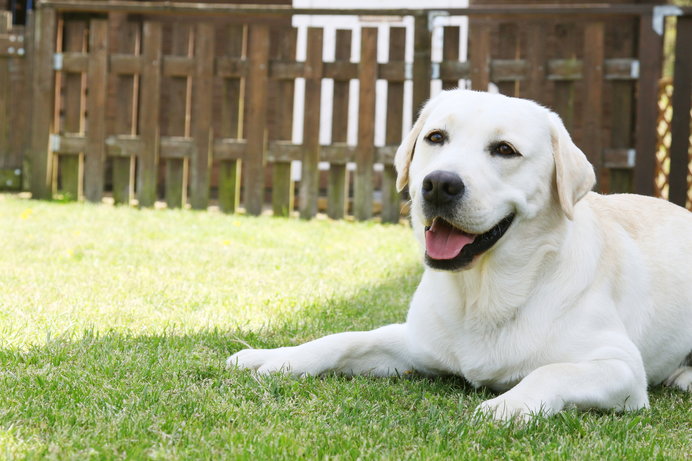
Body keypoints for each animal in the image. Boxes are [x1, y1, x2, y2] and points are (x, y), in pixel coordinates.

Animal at [228, 88, 692, 418]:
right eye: (436, 137)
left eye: (505, 149)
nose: (439, 184)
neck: (483, 295)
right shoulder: (415, 343)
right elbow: (343, 339)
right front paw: (273, 357)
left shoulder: (622, 369)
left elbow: (551, 372)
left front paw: (508, 405)